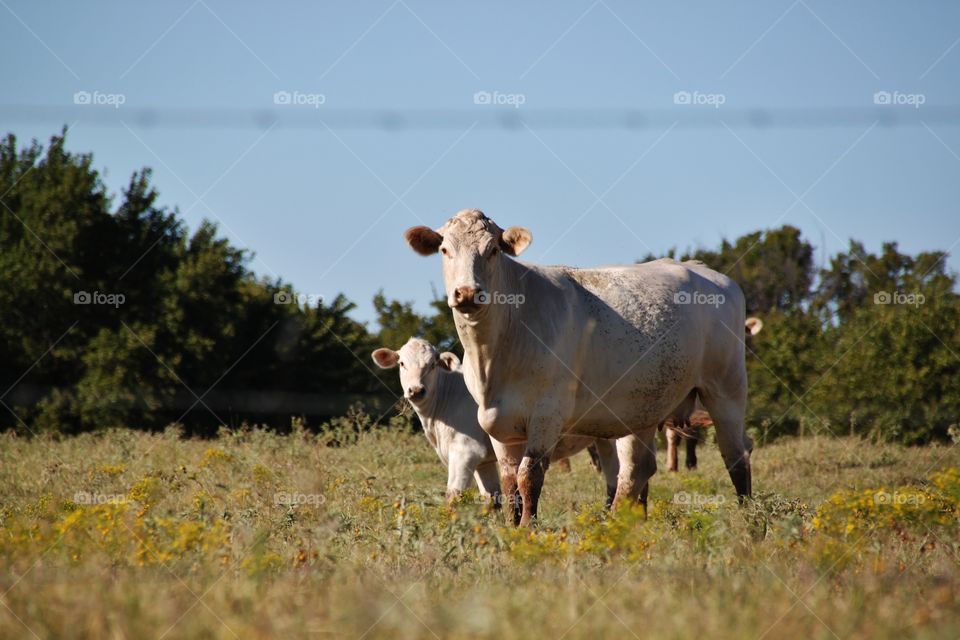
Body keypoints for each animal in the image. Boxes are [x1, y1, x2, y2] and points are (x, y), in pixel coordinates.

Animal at [372, 337, 619, 522]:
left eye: (432, 364)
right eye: (402, 363)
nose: (416, 390)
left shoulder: (465, 452)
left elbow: (453, 495)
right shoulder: (484, 461)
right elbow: (492, 499)